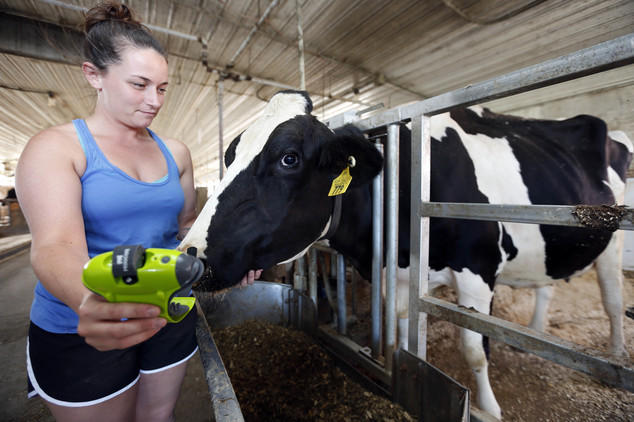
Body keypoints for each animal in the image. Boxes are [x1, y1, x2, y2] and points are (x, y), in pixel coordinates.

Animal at [179, 90, 632, 418]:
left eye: (289, 158)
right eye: (230, 156)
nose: (191, 254)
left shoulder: (478, 271)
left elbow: (474, 350)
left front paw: (488, 409)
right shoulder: (396, 275)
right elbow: (400, 329)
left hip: (613, 235)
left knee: (612, 298)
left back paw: (613, 356)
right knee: (546, 286)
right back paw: (534, 333)